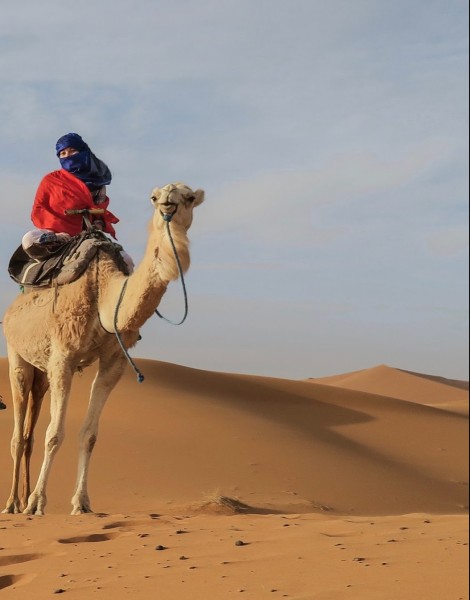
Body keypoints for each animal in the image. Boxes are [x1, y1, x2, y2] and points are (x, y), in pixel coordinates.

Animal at [2, 183, 204, 516]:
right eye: (154, 197)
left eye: (188, 197)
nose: (168, 204)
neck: (105, 294)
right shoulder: (64, 357)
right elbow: (54, 434)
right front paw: (37, 503)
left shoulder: (114, 360)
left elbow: (90, 435)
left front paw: (81, 503)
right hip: (17, 353)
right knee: (19, 435)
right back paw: (13, 503)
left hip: (42, 370)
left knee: (30, 428)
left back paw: (22, 498)